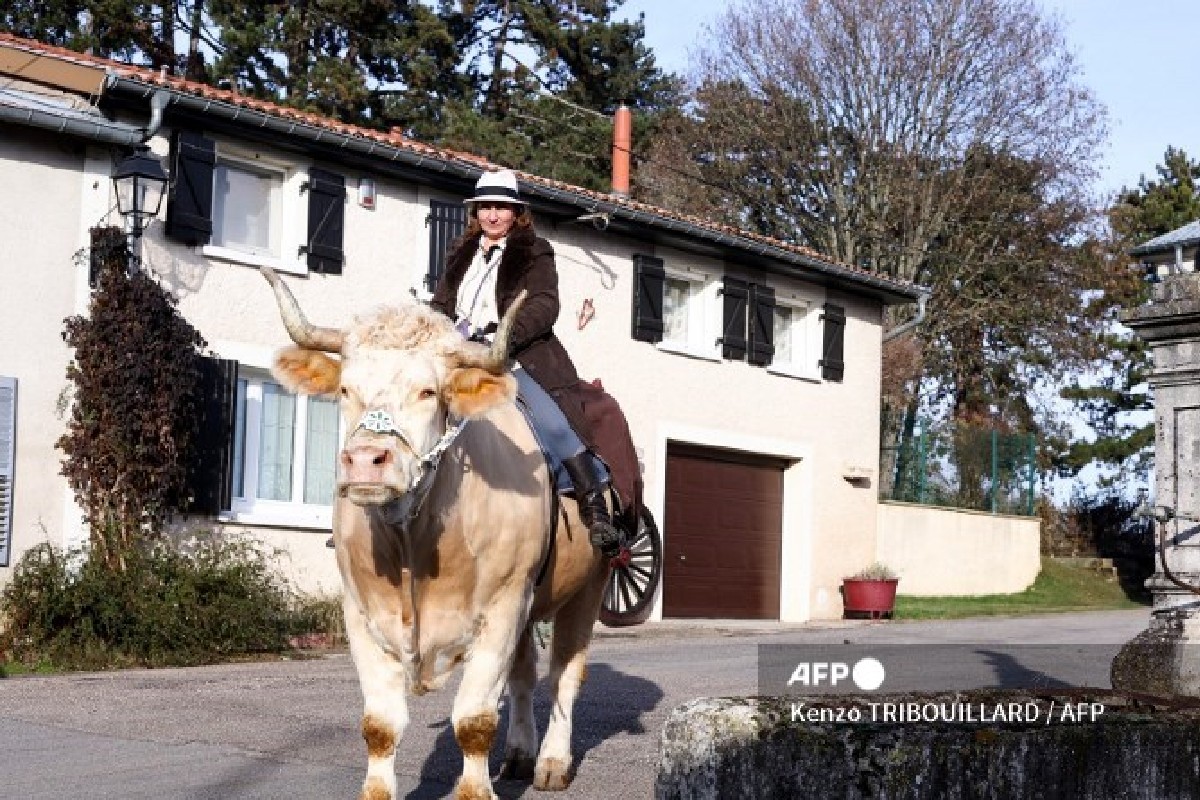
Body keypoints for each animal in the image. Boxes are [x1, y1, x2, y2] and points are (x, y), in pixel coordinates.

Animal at [261, 268, 609, 800]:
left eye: (428, 392)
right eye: (345, 390)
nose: (365, 461)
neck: (413, 543)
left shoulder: (502, 608)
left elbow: (474, 721)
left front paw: (475, 789)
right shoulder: (360, 613)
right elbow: (380, 726)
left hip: (588, 587)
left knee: (565, 675)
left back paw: (551, 763)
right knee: (526, 675)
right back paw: (520, 755)